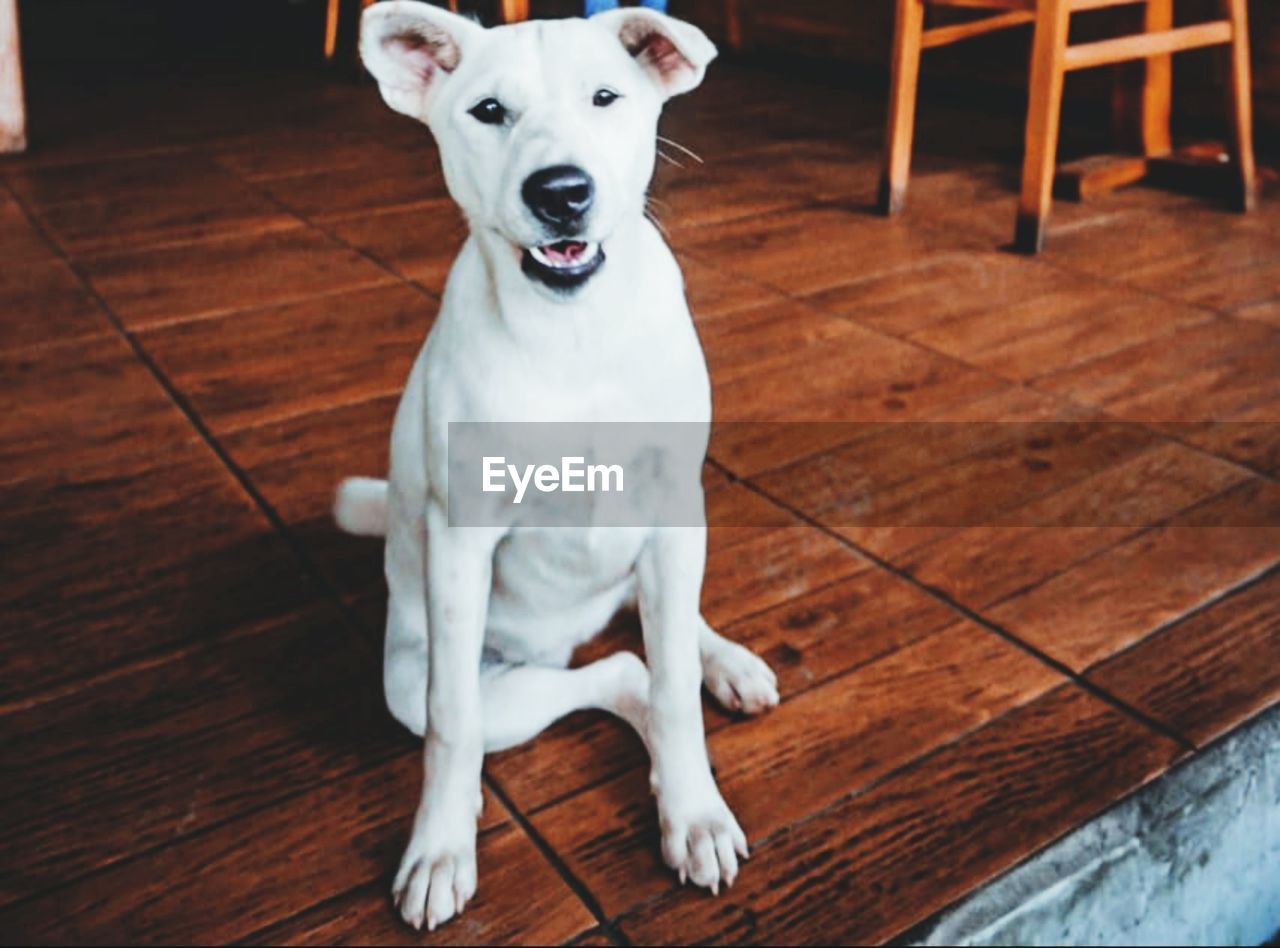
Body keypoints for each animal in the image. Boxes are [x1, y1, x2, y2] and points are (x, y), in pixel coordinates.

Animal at [335, 3, 778, 926]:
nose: (562, 192)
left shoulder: (673, 511)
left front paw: (694, 811)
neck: (574, 332)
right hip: (425, 670)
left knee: (658, 642)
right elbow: (452, 721)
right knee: (612, 672)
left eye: (605, 98)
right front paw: (440, 846)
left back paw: (725, 663)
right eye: (488, 112)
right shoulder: (460, 547)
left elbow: (676, 686)